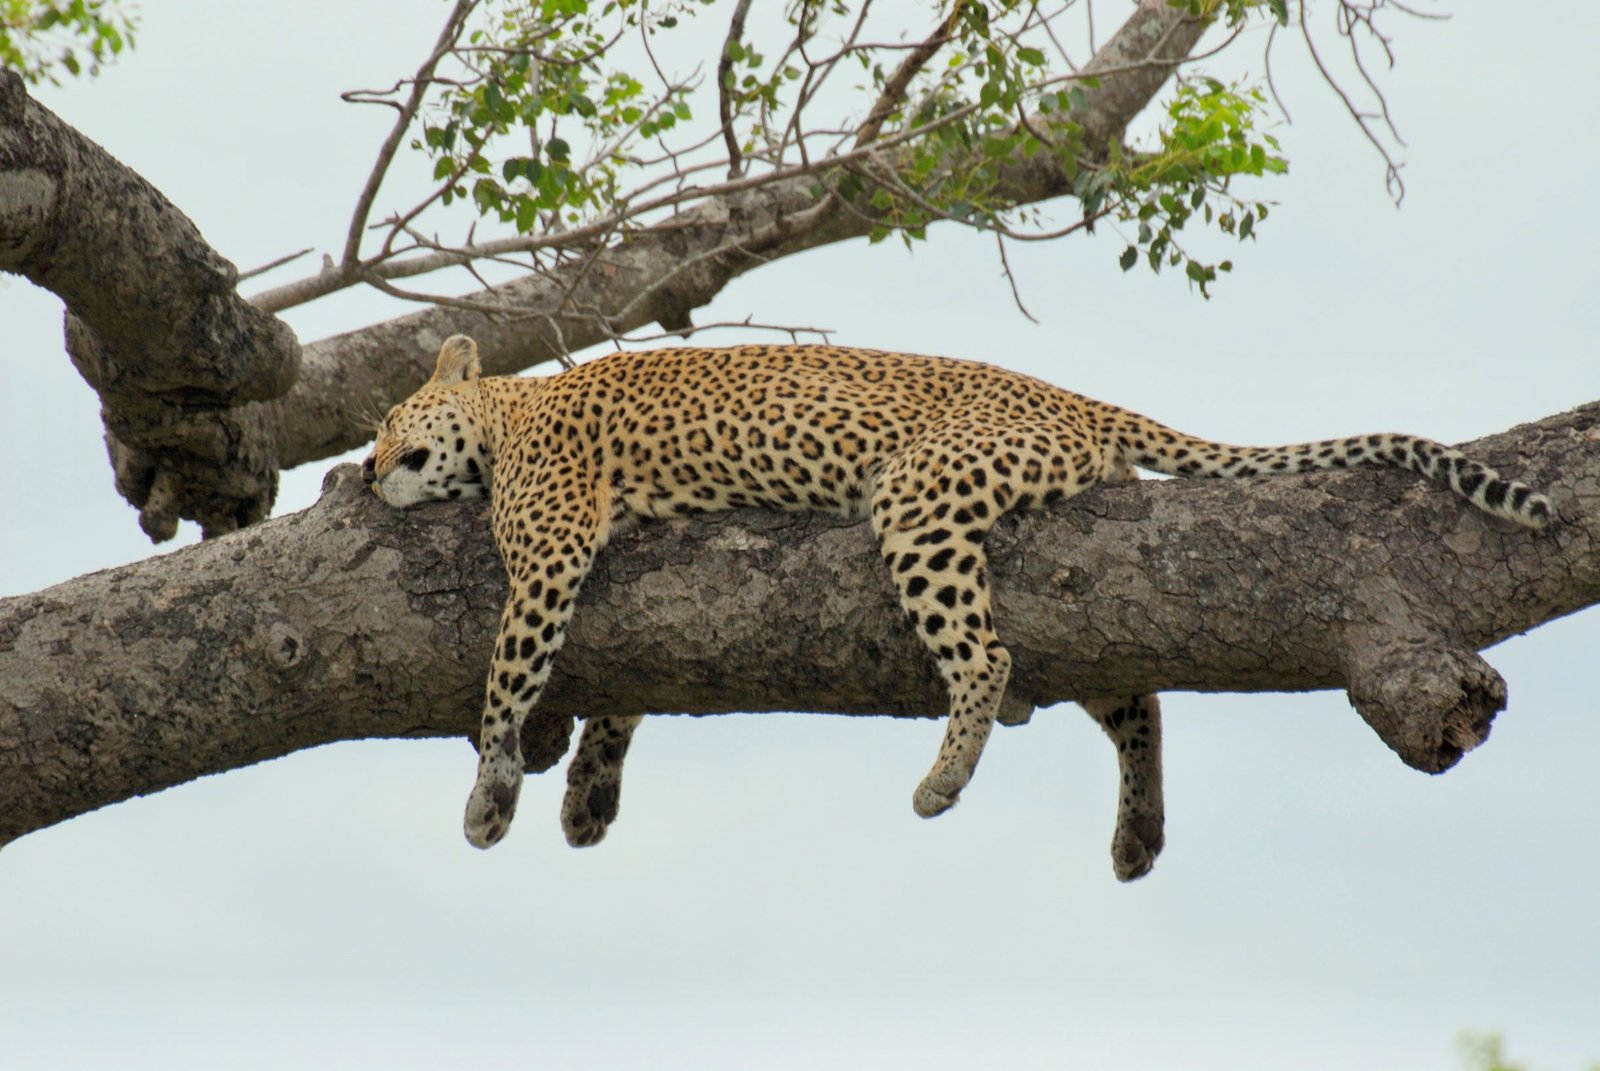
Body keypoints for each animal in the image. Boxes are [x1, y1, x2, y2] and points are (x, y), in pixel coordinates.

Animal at [366, 334, 1548, 877]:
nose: (368, 468)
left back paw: (942, 780)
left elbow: (505, 682)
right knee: (1131, 696)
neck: (509, 406)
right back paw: (1138, 832)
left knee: (987, 658)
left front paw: (490, 798)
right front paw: (584, 796)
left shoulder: (552, 548)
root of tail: (1072, 397)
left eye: (383, 422)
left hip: (921, 496)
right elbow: (620, 692)